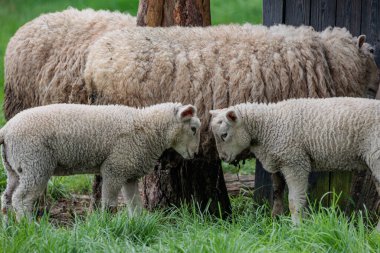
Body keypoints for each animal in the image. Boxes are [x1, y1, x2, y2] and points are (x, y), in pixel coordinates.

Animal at [0, 102, 202, 220]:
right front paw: (108, 225)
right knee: (21, 199)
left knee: (7, 196)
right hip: (34, 163)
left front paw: (138, 223)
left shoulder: (129, 173)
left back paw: (9, 226)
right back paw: (28, 225)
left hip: (14, 168)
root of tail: (6, 129)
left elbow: (135, 204)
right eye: (193, 128)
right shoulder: (115, 168)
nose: (195, 153)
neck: (148, 129)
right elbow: (110, 205)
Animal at [209, 97, 380, 231]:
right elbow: (278, 195)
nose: (223, 158)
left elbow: (294, 201)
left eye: (224, 135)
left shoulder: (295, 162)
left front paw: (296, 228)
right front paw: (278, 223)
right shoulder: (278, 164)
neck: (268, 125)